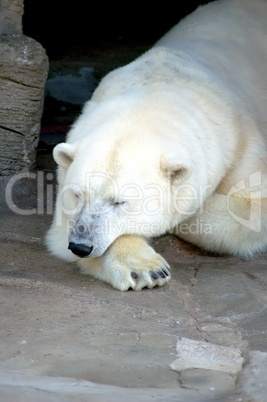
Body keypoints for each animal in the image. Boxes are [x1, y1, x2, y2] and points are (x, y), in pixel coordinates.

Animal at [46, 0, 267, 290]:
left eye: (120, 201)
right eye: (77, 194)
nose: (81, 245)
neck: (157, 93)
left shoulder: (242, 141)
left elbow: (252, 205)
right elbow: (62, 227)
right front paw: (144, 267)